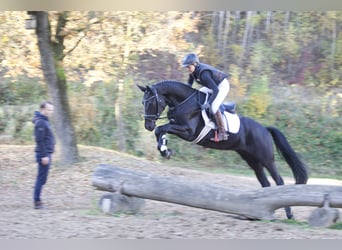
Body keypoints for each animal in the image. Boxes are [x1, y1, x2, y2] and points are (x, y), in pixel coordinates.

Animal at [138, 80, 308, 219]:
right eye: (143, 103)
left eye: (152, 103)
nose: (148, 125)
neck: (183, 103)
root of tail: (265, 129)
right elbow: (160, 131)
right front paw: (165, 149)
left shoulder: (188, 131)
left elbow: (161, 128)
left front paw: (165, 149)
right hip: (252, 160)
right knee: (265, 182)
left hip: (266, 158)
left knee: (279, 180)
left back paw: (289, 214)